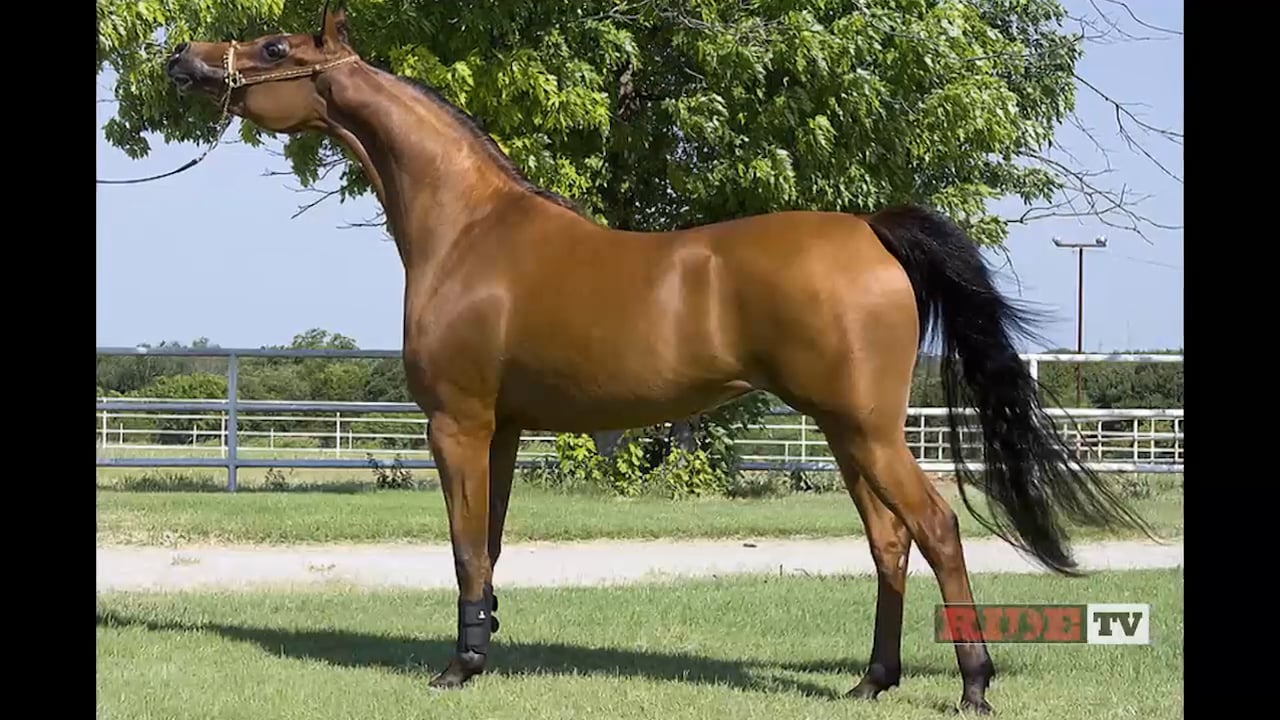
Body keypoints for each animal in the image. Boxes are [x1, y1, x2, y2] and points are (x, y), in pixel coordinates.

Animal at [162, 5, 1154, 713]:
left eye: (274, 42)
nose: (181, 61)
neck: (469, 229)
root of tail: (871, 229)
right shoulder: (505, 429)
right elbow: (490, 544)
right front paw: (483, 648)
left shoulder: (459, 422)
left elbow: (464, 545)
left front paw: (458, 665)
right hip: (846, 433)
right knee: (888, 541)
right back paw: (871, 681)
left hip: (869, 431)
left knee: (938, 529)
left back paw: (974, 684)